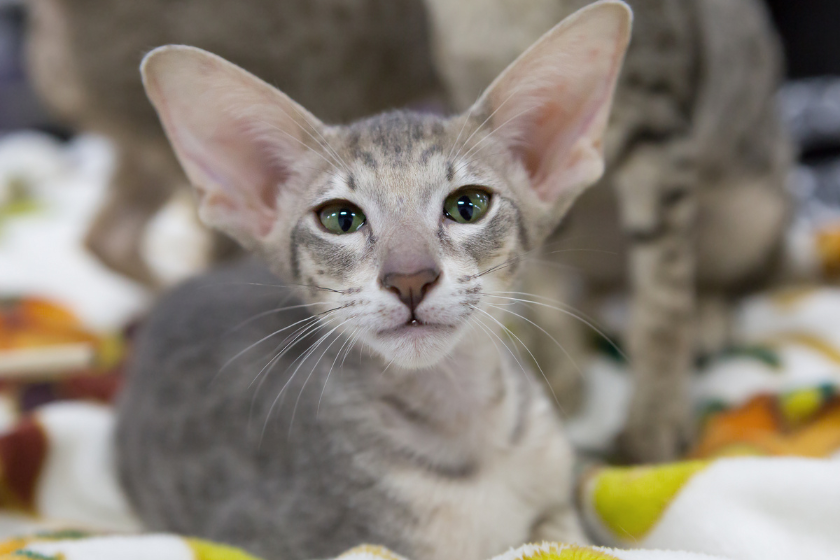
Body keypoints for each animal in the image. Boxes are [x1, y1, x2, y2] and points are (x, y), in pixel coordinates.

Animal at [116, 2, 632, 556]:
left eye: (468, 206)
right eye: (340, 218)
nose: (410, 278)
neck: (466, 431)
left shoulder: (555, 497)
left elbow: (563, 533)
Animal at [426, 0, 796, 462]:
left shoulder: (656, 122)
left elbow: (661, 300)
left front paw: (657, 416)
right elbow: (540, 273)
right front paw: (556, 376)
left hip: (756, 207)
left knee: (754, 269)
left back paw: (707, 315)